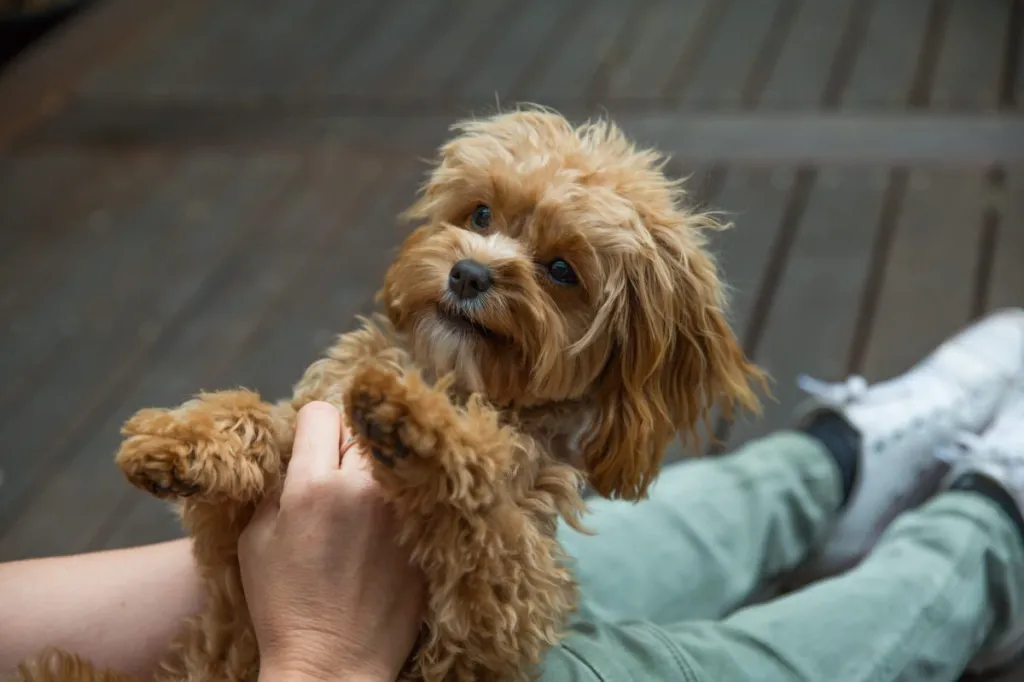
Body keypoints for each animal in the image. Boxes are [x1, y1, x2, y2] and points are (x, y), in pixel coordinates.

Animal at [12, 106, 765, 679]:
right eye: (481, 213)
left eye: (561, 270)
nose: (468, 273)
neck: (455, 375)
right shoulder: (232, 546)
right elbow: (261, 420)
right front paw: (178, 440)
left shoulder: (496, 621)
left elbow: (485, 519)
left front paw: (414, 419)